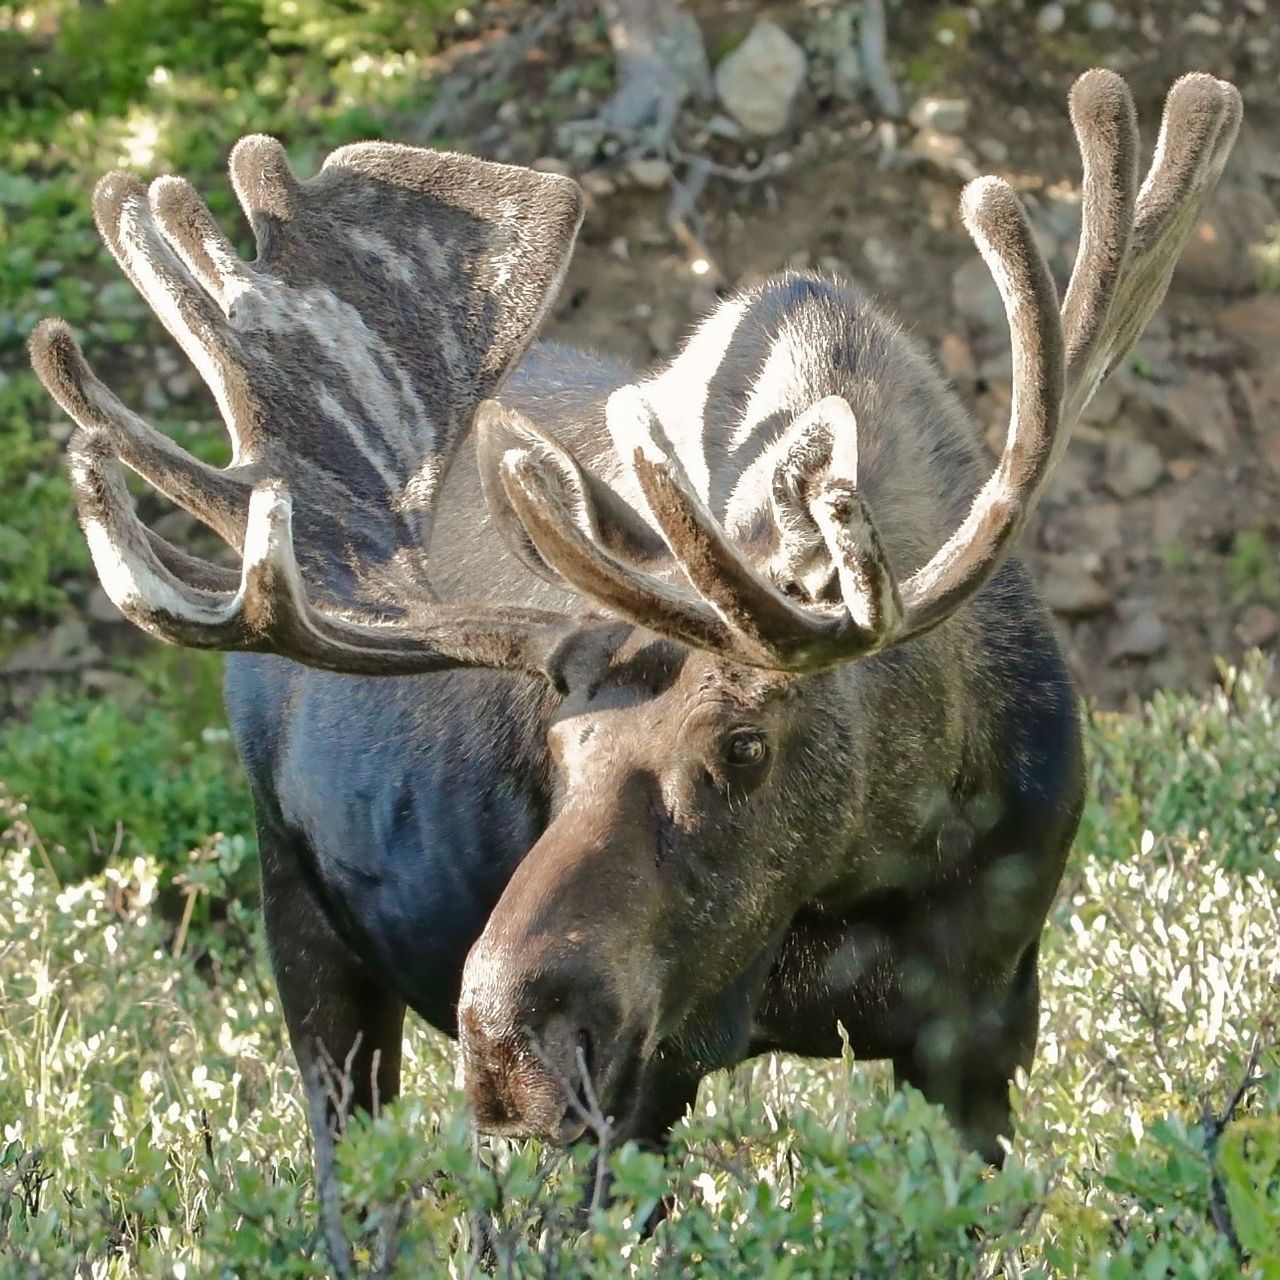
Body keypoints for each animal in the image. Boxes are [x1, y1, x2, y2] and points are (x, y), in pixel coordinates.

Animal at [32, 70, 1239, 1169]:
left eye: (743, 744)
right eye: (554, 750)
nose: (506, 1046)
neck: (879, 856)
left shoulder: (983, 1030)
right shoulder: (640, 1080)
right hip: (301, 921)